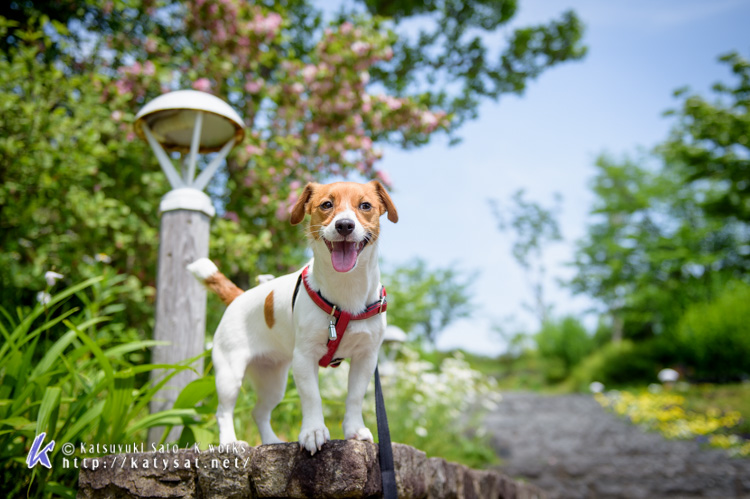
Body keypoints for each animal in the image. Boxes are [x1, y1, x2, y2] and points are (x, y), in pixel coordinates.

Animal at [189, 180, 400, 454]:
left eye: (365, 206)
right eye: (326, 204)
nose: (344, 225)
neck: (345, 292)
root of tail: (239, 296)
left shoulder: (366, 357)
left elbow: (354, 396)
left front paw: (354, 430)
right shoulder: (304, 357)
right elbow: (312, 397)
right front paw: (313, 431)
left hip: (273, 382)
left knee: (259, 412)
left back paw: (271, 440)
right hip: (229, 374)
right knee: (223, 411)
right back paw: (229, 442)